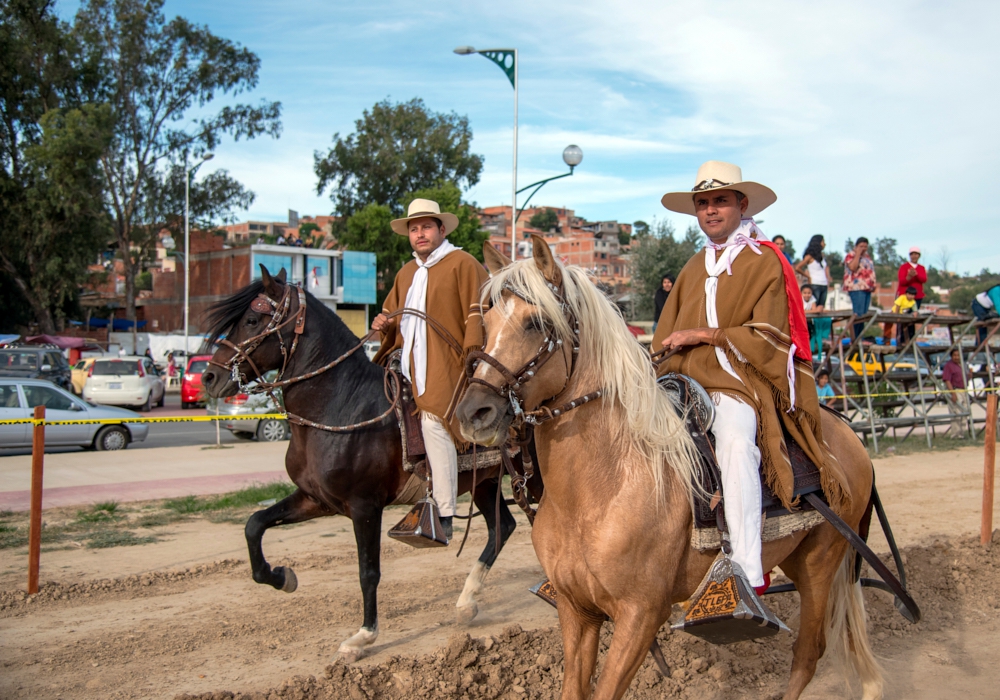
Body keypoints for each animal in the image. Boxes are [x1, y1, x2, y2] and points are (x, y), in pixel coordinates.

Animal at [203, 266, 528, 660]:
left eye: (252, 320)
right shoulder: (315, 499)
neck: (341, 404)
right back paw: (467, 601)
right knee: (502, 528)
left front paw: (363, 636)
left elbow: (367, 571)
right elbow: (254, 525)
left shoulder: (365, 507)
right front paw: (281, 577)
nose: (210, 378)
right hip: (485, 481)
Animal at [458, 237, 880, 700]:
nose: (473, 412)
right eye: (487, 322)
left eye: (535, 322)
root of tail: (845, 432)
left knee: (809, 652)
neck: (600, 490)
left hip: (820, 564)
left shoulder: (639, 616)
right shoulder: (576, 610)